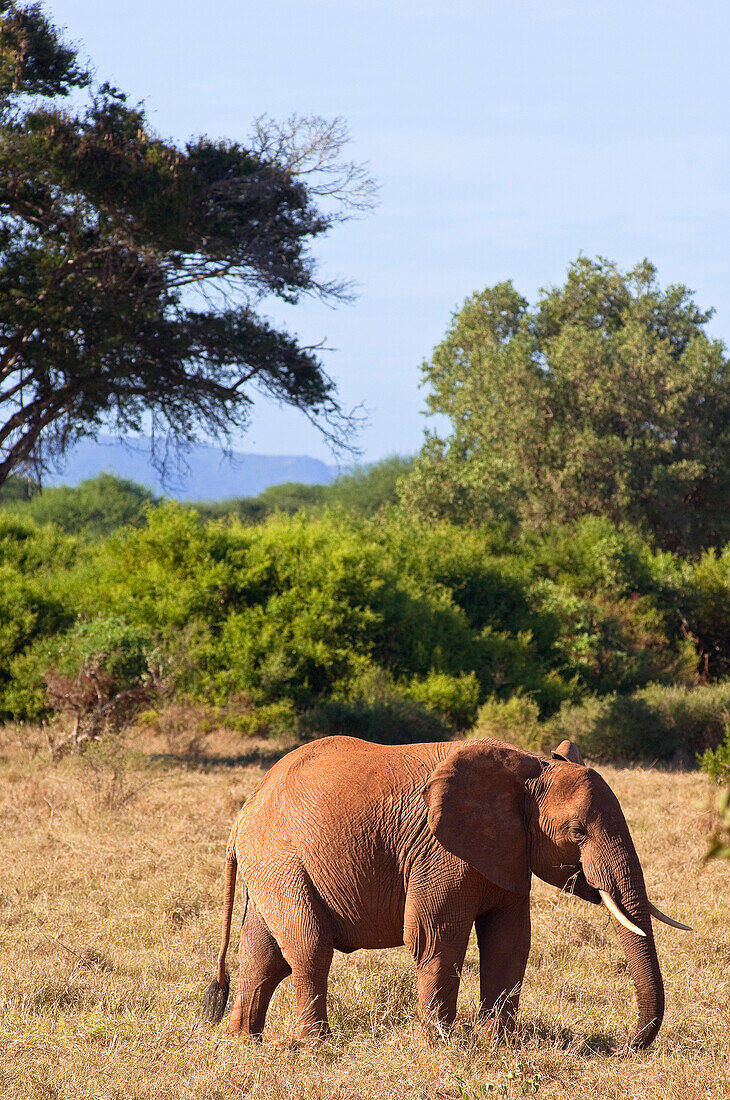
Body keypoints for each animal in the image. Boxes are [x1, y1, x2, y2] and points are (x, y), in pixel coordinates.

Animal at [201, 734, 690, 1042]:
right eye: (577, 832)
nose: (625, 1044)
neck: (528, 770)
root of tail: (243, 812)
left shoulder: (509, 853)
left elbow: (510, 942)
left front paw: (496, 1045)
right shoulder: (441, 852)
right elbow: (437, 938)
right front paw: (439, 1045)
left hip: (273, 865)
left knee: (262, 954)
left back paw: (244, 1042)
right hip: (281, 858)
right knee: (308, 948)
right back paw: (315, 1047)